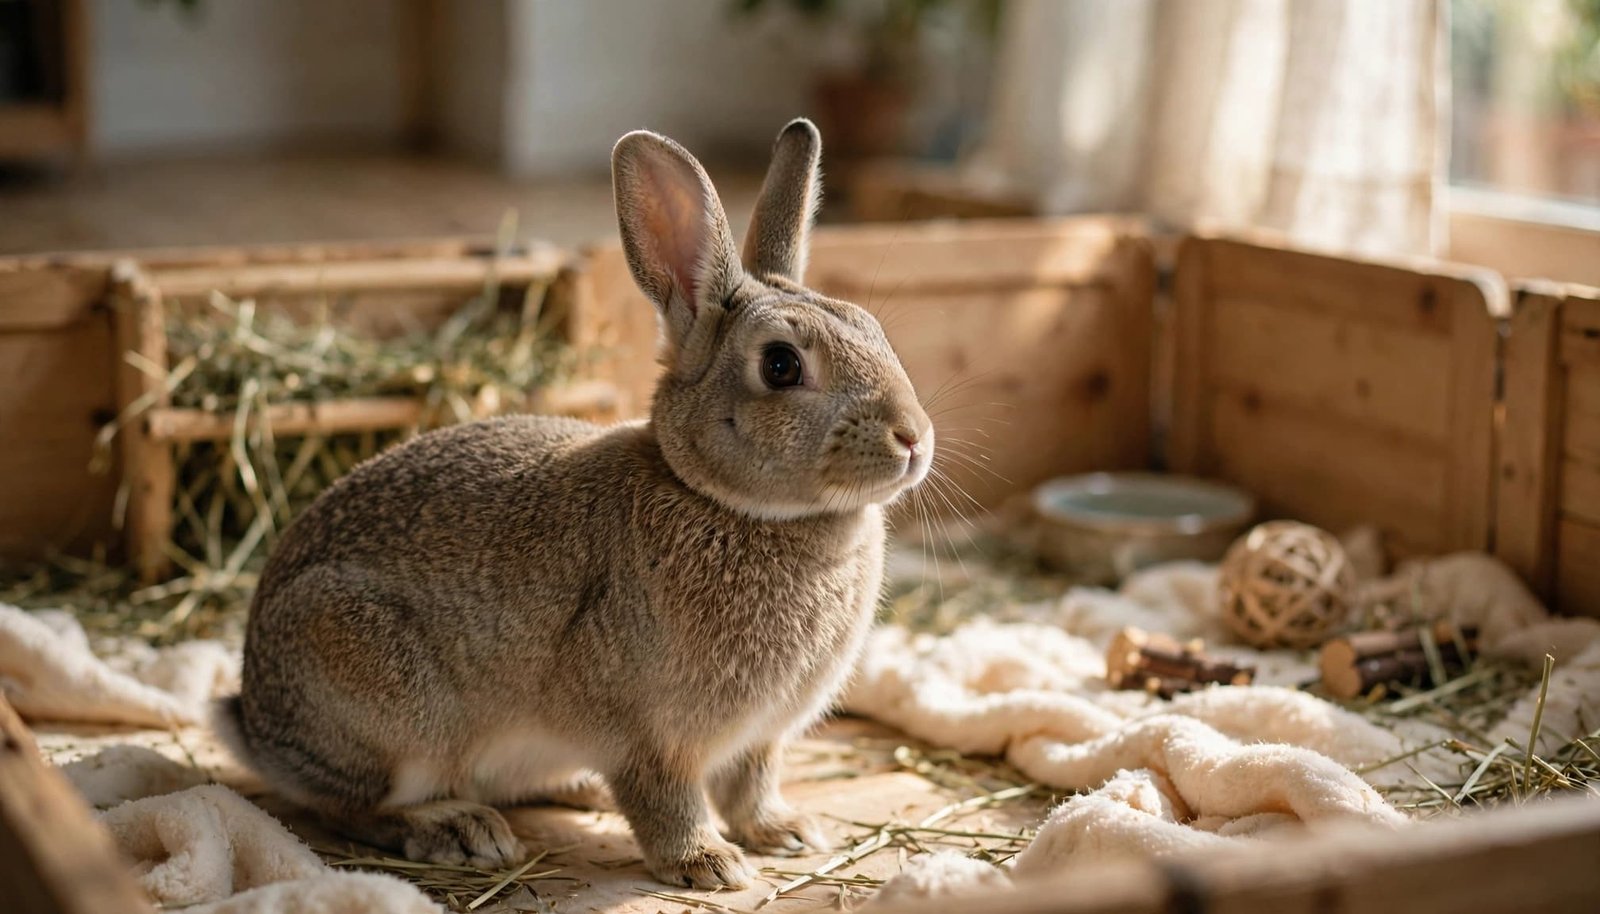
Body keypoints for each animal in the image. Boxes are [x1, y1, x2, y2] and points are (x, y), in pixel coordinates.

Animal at [213, 118, 933, 891]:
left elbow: (752, 784)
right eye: (780, 366)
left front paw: (786, 832)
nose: (914, 437)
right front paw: (710, 864)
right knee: (346, 806)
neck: (721, 500)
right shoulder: (648, 737)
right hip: (386, 701)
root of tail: (254, 719)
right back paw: (459, 831)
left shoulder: (758, 739)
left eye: (874, 330)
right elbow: (667, 801)